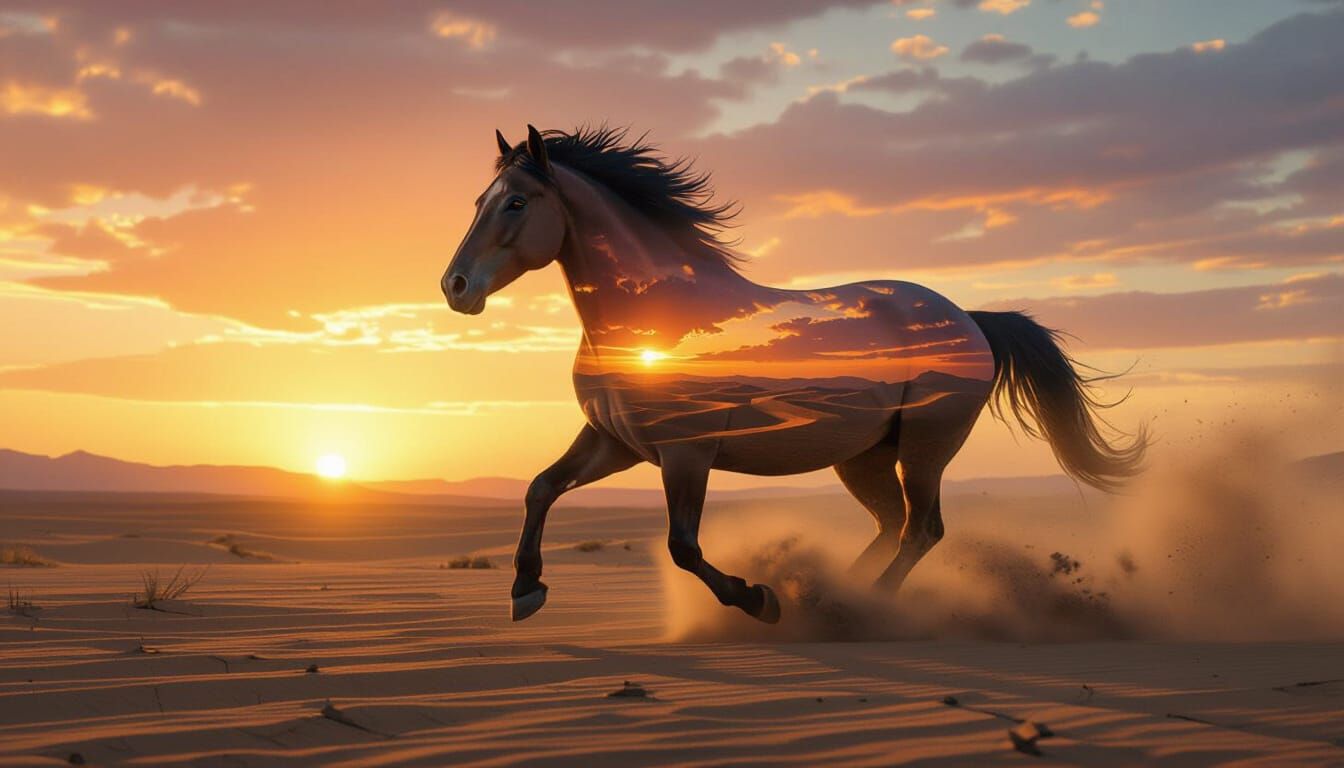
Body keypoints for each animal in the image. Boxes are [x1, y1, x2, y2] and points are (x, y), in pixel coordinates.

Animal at [442, 125, 1145, 624]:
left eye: (517, 203)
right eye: (479, 201)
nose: (455, 287)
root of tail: (968, 318)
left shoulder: (685, 453)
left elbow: (683, 546)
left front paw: (759, 599)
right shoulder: (616, 443)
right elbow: (540, 488)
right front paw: (525, 588)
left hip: (925, 449)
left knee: (921, 529)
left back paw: (856, 610)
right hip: (863, 457)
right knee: (890, 525)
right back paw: (834, 597)